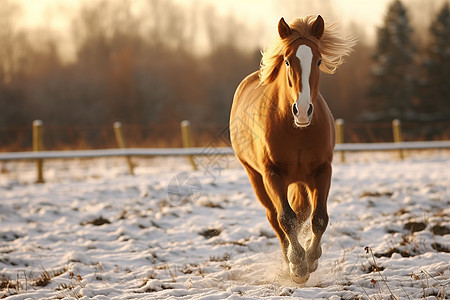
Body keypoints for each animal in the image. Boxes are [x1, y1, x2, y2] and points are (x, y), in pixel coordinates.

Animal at [230, 15, 354, 284]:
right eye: (287, 60)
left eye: (318, 60)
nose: (303, 110)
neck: (297, 131)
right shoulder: (272, 174)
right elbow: (285, 218)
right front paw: (297, 265)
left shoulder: (322, 171)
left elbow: (319, 218)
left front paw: (311, 258)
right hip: (256, 177)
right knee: (274, 218)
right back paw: (288, 259)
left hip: (300, 181)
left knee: (302, 213)